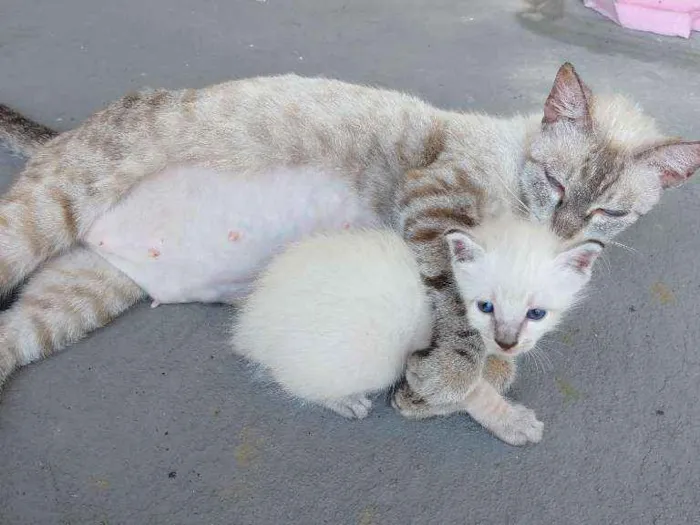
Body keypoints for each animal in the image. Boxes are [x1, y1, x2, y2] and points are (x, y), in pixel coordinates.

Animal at [1, 63, 700, 406]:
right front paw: (452, 374)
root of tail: (67, 131)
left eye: (606, 212)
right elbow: (456, 305)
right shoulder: (434, 206)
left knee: (11, 338)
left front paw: (474, 373)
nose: (561, 229)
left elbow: (504, 347)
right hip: (38, 220)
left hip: (72, 299)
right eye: (555, 184)